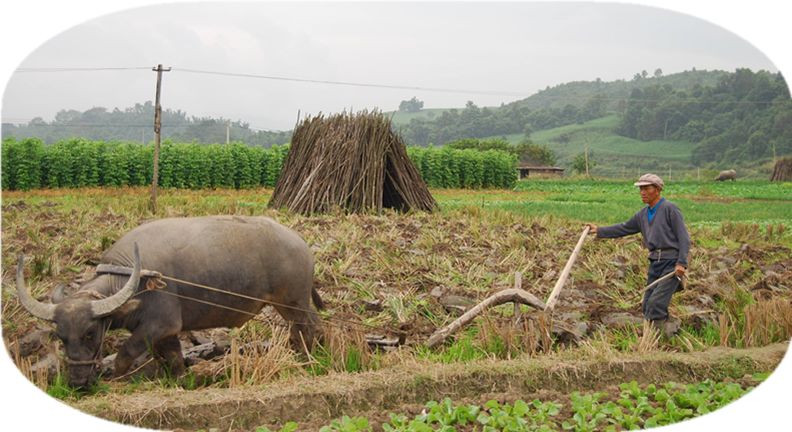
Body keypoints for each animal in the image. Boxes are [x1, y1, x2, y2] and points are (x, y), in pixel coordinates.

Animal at [15, 216, 320, 388]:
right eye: (61, 337)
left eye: (91, 333)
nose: (78, 383)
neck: (134, 281)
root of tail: (300, 242)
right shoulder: (168, 333)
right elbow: (173, 357)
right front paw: (182, 380)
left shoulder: (159, 325)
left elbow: (125, 353)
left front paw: (117, 380)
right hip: (294, 303)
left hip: (293, 302)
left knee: (307, 327)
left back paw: (308, 357)